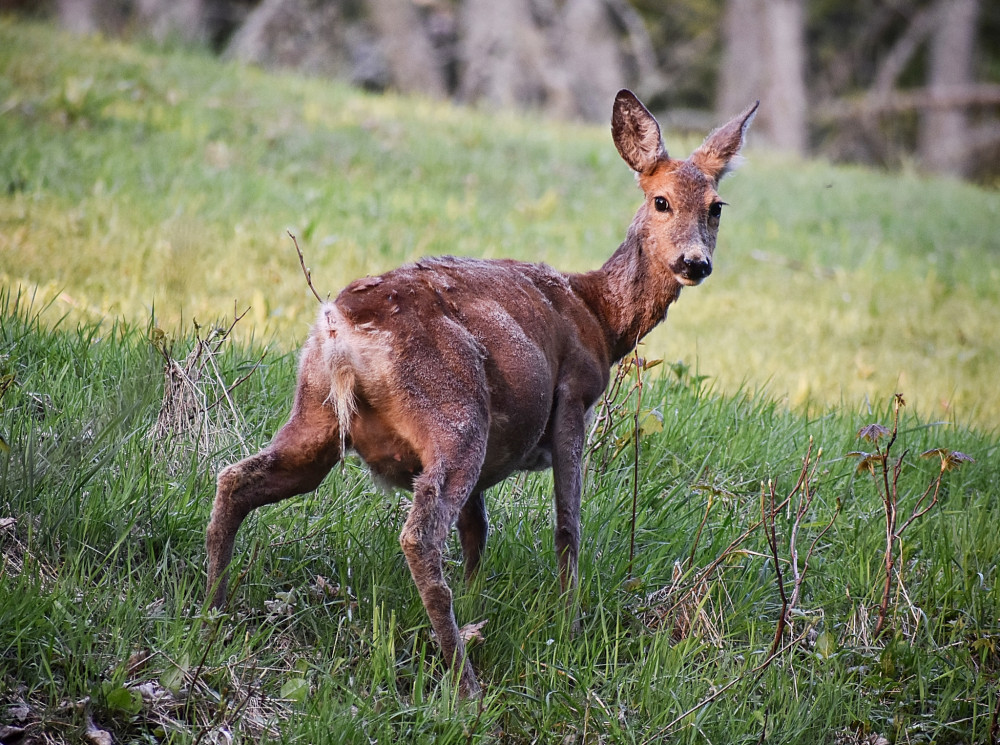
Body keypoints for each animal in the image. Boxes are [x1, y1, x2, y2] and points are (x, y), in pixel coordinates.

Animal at [205, 88, 756, 696]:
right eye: (661, 201)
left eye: (716, 206)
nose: (694, 262)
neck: (600, 317)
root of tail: (342, 332)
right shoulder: (574, 396)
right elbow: (568, 525)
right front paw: (569, 622)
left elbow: (478, 532)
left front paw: (477, 603)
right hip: (456, 414)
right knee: (420, 536)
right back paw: (465, 684)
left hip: (318, 413)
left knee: (236, 479)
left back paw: (211, 611)